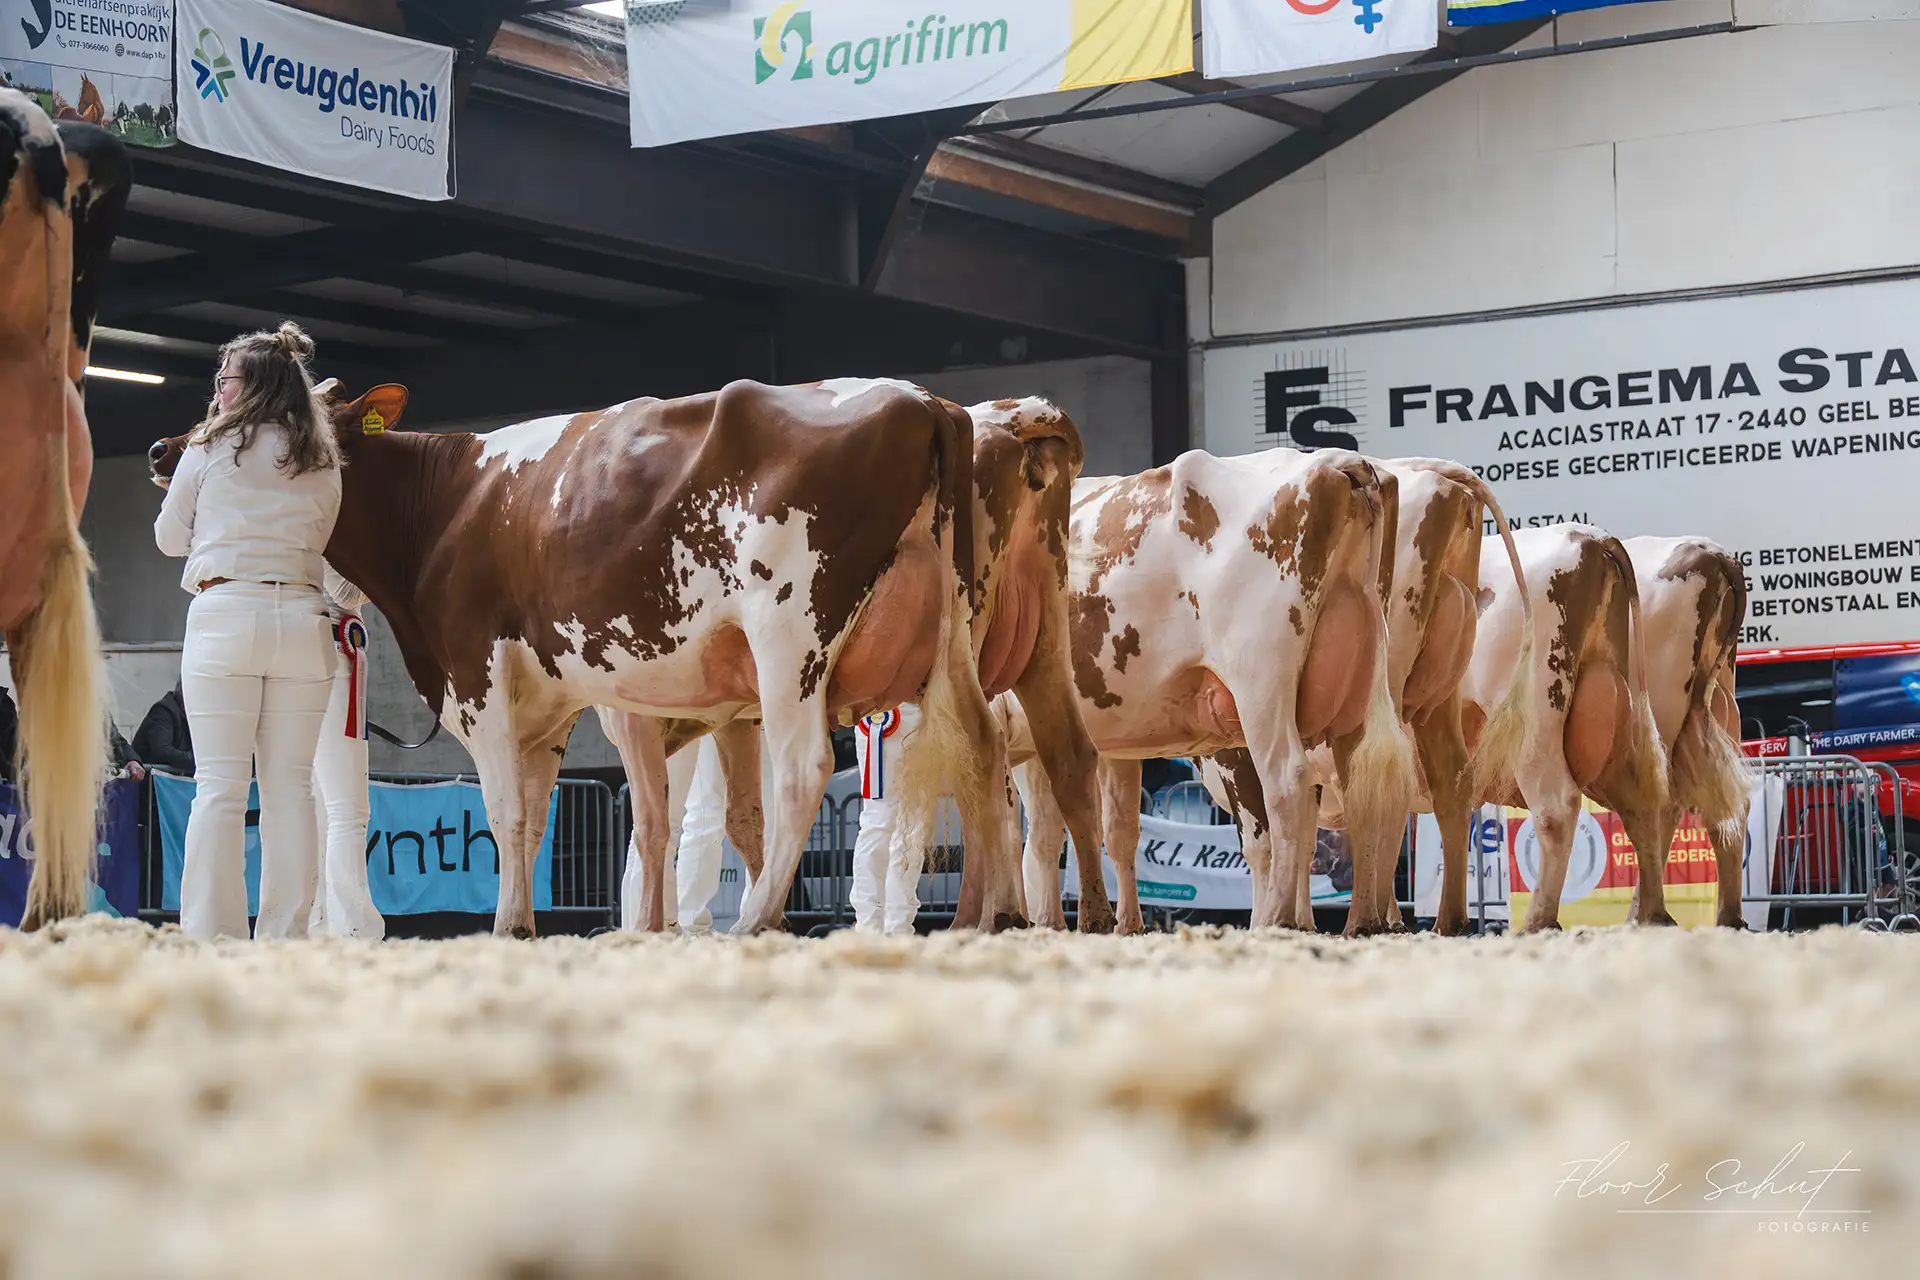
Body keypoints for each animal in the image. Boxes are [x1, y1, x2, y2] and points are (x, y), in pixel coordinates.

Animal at [155, 377, 1025, 938]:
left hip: (791, 631)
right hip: (954, 633)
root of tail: (920, 400)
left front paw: (508, 927)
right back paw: (997, 916)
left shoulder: (478, 673)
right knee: (983, 753)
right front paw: (531, 922)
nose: (165, 447)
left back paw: (758, 919)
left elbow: (505, 811)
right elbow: (539, 817)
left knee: (804, 767)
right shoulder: (548, 708)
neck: (441, 507)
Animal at [1014, 448, 1414, 933]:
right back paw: (1363, 921)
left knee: (1288, 784)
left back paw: (1278, 917)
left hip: (1259, 685)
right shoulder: (1117, 743)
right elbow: (1120, 829)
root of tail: (1343, 462)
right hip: (1357, 685)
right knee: (1365, 793)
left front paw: (1042, 918)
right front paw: (1126, 924)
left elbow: (1035, 829)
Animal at [1200, 459, 1532, 935]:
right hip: (1436, 700)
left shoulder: (1239, 756)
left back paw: (1366, 918)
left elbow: (1265, 844)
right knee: (1445, 785)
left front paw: (1272, 919)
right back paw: (1438, 920)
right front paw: (1302, 920)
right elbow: (1304, 841)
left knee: (1379, 786)